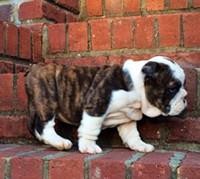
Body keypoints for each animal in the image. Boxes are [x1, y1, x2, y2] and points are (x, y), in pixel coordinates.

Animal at [25, 56, 188, 154]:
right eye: (173, 88)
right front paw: (89, 147)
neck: (135, 87)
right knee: (44, 124)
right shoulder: (96, 107)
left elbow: (132, 134)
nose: (185, 97)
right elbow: (91, 129)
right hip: (47, 98)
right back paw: (59, 141)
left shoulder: (127, 118)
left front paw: (139, 145)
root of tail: (33, 67)